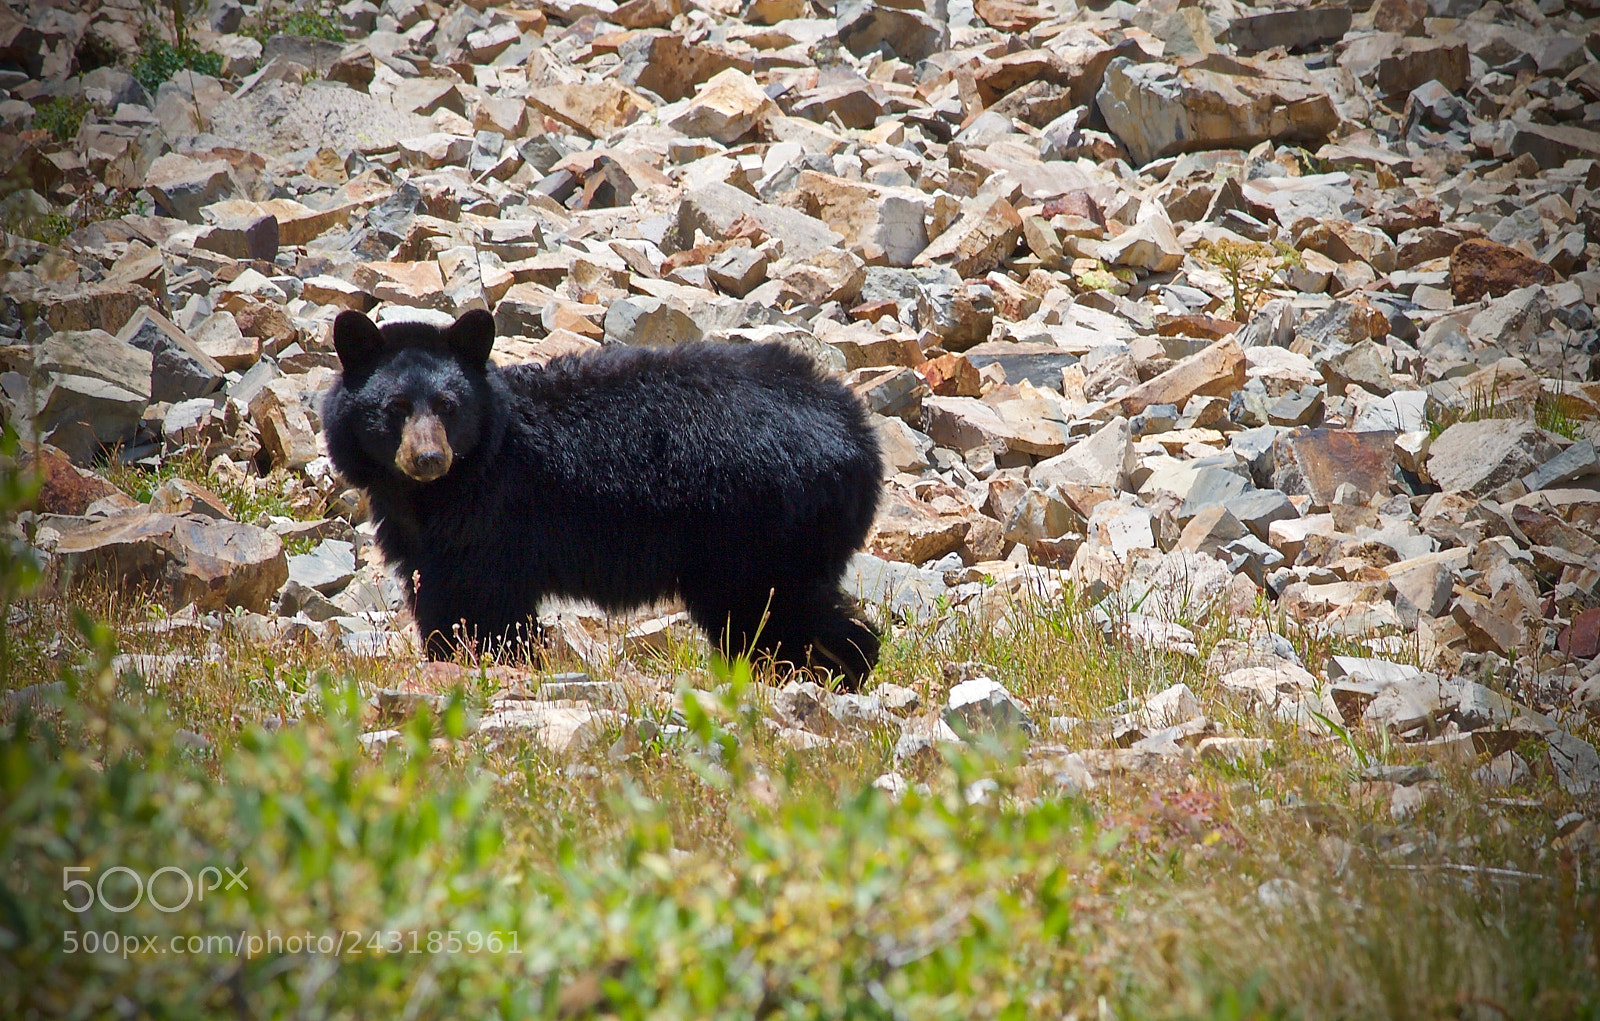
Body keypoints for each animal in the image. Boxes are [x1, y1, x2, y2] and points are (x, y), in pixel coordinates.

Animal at [321, 308, 885, 686]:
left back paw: (836, 669)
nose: (429, 458)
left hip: (762, 527)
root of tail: (859, 434)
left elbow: (481, 603)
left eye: (448, 405)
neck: (439, 492)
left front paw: (491, 663)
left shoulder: (493, 519)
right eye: (395, 407)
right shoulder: (417, 531)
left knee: (773, 611)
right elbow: (439, 594)